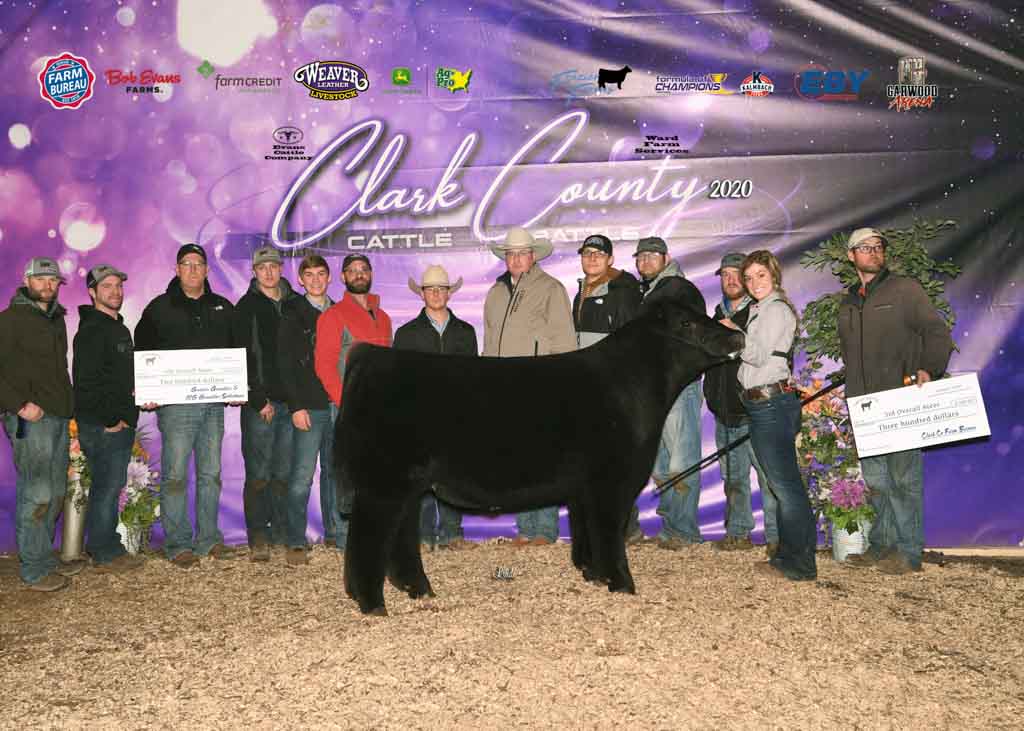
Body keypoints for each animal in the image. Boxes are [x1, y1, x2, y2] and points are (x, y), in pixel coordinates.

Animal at [335, 295, 744, 615]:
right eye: (687, 322)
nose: (737, 334)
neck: (633, 385)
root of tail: (370, 357)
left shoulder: (586, 488)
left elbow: (587, 532)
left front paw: (594, 576)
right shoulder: (612, 481)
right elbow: (609, 533)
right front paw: (623, 585)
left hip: (405, 483)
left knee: (400, 536)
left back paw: (418, 590)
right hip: (383, 482)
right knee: (368, 538)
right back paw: (373, 604)